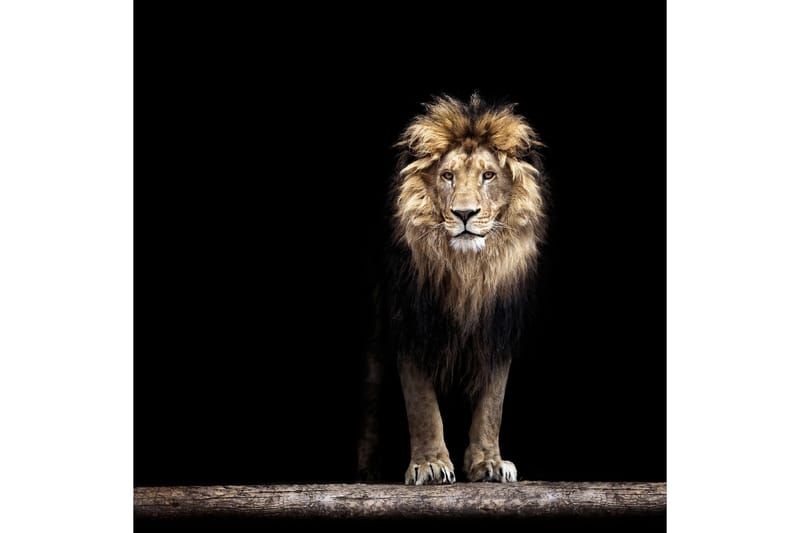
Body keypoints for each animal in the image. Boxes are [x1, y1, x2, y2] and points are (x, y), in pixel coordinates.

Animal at [358, 94, 546, 485]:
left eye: (488, 176)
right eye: (448, 176)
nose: (464, 213)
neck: (467, 270)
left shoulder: (497, 328)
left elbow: (492, 404)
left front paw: (489, 463)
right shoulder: (412, 323)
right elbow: (422, 405)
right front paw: (429, 464)